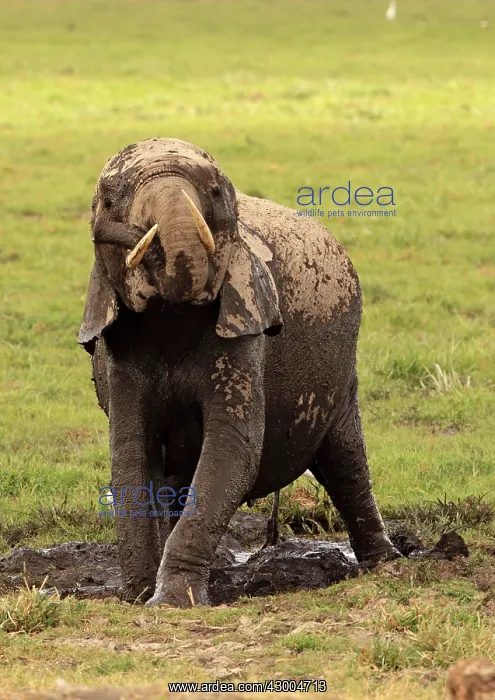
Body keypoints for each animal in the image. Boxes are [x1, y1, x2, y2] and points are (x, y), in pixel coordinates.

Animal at [79, 137, 398, 607]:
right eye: (108, 200)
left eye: (214, 193)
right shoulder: (121, 348)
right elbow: (131, 455)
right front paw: (138, 596)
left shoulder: (245, 324)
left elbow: (232, 447)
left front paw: (172, 602)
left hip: (343, 367)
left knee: (345, 460)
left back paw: (387, 565)